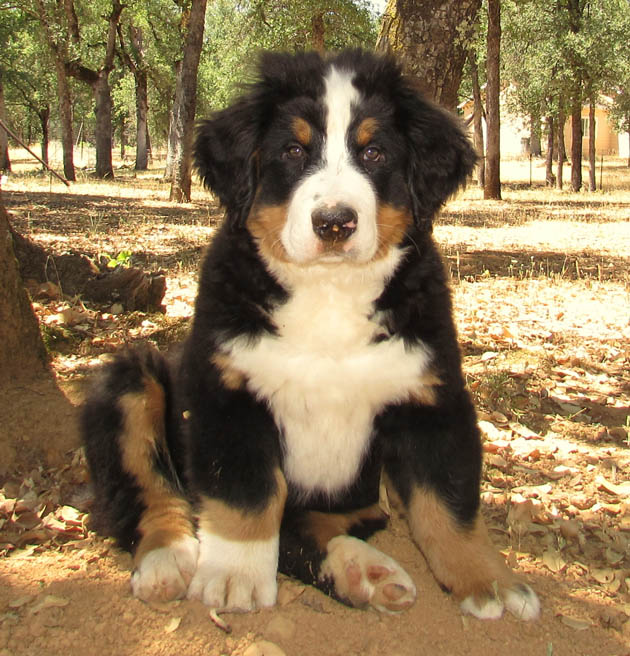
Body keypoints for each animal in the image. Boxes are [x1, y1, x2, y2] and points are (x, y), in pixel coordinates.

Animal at [81, 49, 539, 621]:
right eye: (294, 150)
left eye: (374, 152)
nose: (335, 222)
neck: (328, 293)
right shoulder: (228, 393)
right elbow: (248, 494)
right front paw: (234, 576)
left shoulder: (431, 396)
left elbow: (448, 502)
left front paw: (488, 579)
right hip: (130, 381)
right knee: (150, 488)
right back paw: (169, 557)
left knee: (314, 524)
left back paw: (362, 571)